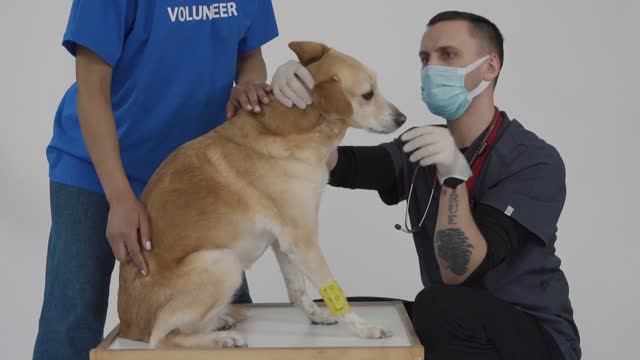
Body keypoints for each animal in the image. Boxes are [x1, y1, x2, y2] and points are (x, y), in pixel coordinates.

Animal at [116, 42, 404, 348]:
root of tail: (128, 327)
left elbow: (297, 289)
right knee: (163, 338)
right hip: (223, 262)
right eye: (368, 94)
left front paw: (316, 315)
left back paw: (220, 321)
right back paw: (222, 338)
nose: (403, 118)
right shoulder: (302, 240)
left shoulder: (284, 242)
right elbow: (334, 291)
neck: (298, 125)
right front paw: (365, 329)